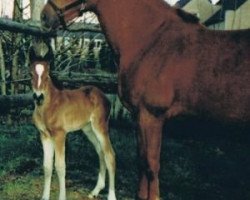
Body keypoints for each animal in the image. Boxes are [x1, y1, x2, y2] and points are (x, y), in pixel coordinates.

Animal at [31, 59, 116, 200]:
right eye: (30, 74)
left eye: (47, 75)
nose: (38, 97)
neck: (49, 105)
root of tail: (106, 98)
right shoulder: (44, 135)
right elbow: (47, 166)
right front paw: (45, 197)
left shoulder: (60, 134)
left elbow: (60, 166)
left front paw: (62, 197)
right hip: (89, 130)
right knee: (101, 153)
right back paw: (95, 191)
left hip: (100, 127)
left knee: (110, 155)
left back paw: (111, 196)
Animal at [41, 0, 250, 199]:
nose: (44, 16)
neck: (151, 40)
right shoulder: (139, 116)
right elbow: (141, 160)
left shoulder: (152, 116)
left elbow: (151, 163)